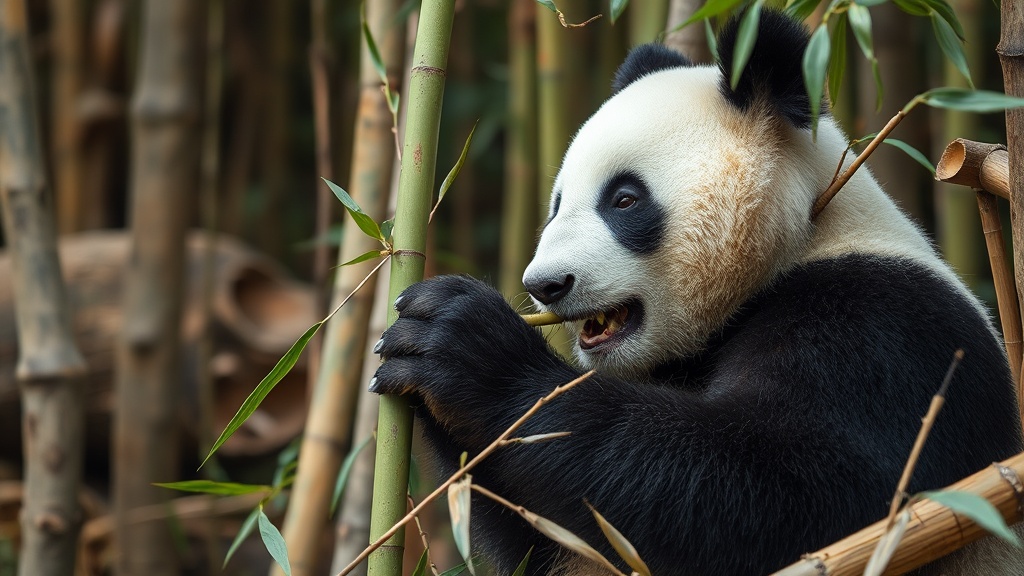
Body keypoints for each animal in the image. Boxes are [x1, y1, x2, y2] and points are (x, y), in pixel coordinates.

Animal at [370, 8, 1024, 573]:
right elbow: (560, 542)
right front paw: (414, 346)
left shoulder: (887, 330)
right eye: (556, 204)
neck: (805, 236)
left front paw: (466, 346)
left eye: (624, 199)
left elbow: (787, 495)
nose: (545, 284)